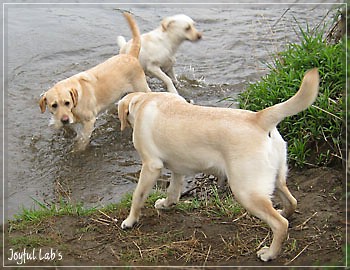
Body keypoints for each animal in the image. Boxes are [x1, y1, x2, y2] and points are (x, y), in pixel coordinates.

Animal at [39, 12, 150, 151]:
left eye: (67, 102)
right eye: (54, 105)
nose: (64, 119)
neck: (76, 102)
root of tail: (130, 55)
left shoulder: (89, 121)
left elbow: (82, 141)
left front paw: (77, 151)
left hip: (142, 87)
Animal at [118, 69, 320, 262]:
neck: (142, 101)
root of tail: (259, 118)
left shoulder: (151, 166)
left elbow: (137, 196)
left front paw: (130, 220)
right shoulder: (177, 168)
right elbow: (173, 191)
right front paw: (167, 204)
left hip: (245, 191)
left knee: (279, 224)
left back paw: (270, 253)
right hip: (275, 179)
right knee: (291, 202)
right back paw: (284, 213)